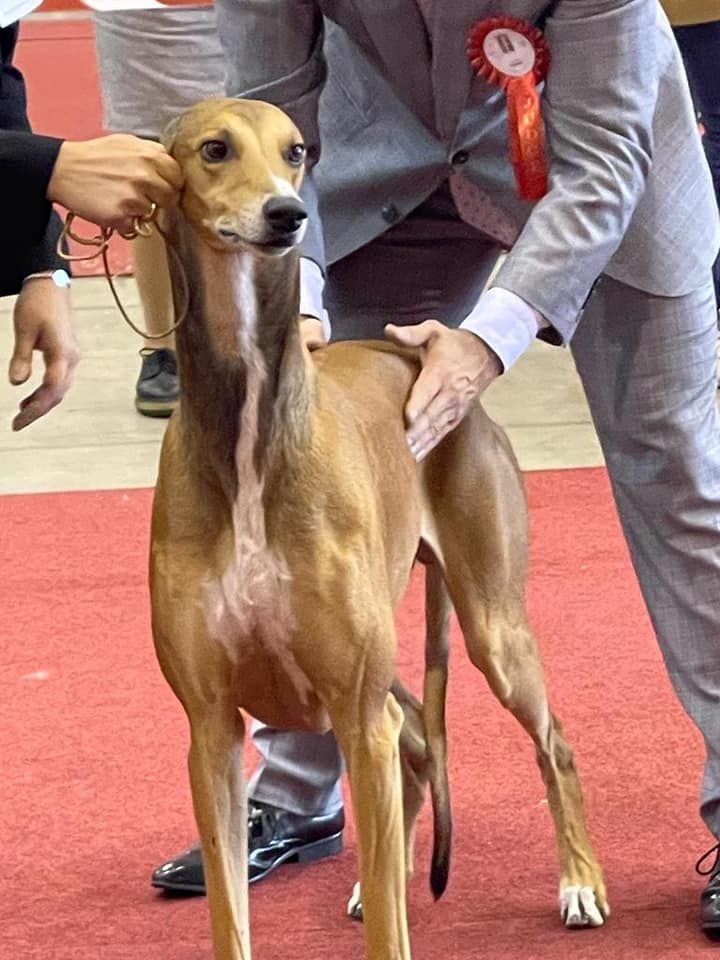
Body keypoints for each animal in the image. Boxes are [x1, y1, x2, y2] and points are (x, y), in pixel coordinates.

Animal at [150, 99, 608, 960]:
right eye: (214, 149)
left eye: (296, 151)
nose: (287, 215)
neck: (253, 428)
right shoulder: (209, 732)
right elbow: (230, 915)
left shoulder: (356, 713)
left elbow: (393, 933)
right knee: (419, 744)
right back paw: (382, 876)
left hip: (489, 629)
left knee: (550, 741)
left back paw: (579, 882)